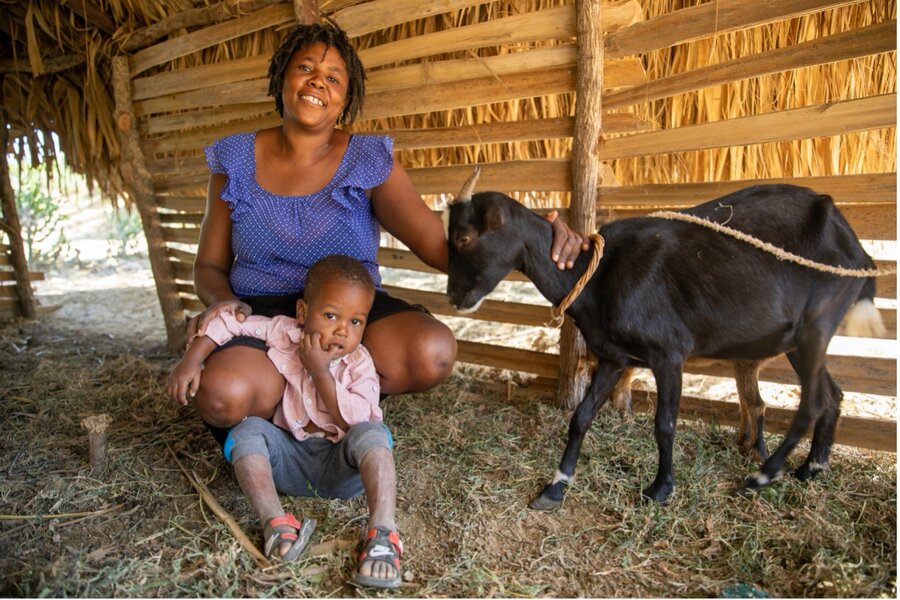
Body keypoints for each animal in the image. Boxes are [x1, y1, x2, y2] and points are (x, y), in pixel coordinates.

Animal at [446, 179, 884, 506]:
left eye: (464, 238)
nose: (453, 297)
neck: (596, 277)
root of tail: (857, 249)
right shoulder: (613, 357)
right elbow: (581, 416)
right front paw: (556, 485)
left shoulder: (668, 353)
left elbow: (665, 423)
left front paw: (660, 488)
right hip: (801, 338)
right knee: (832, 393)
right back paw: (812, 467)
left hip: (817, 323)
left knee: (812, 400)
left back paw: (764, 474)